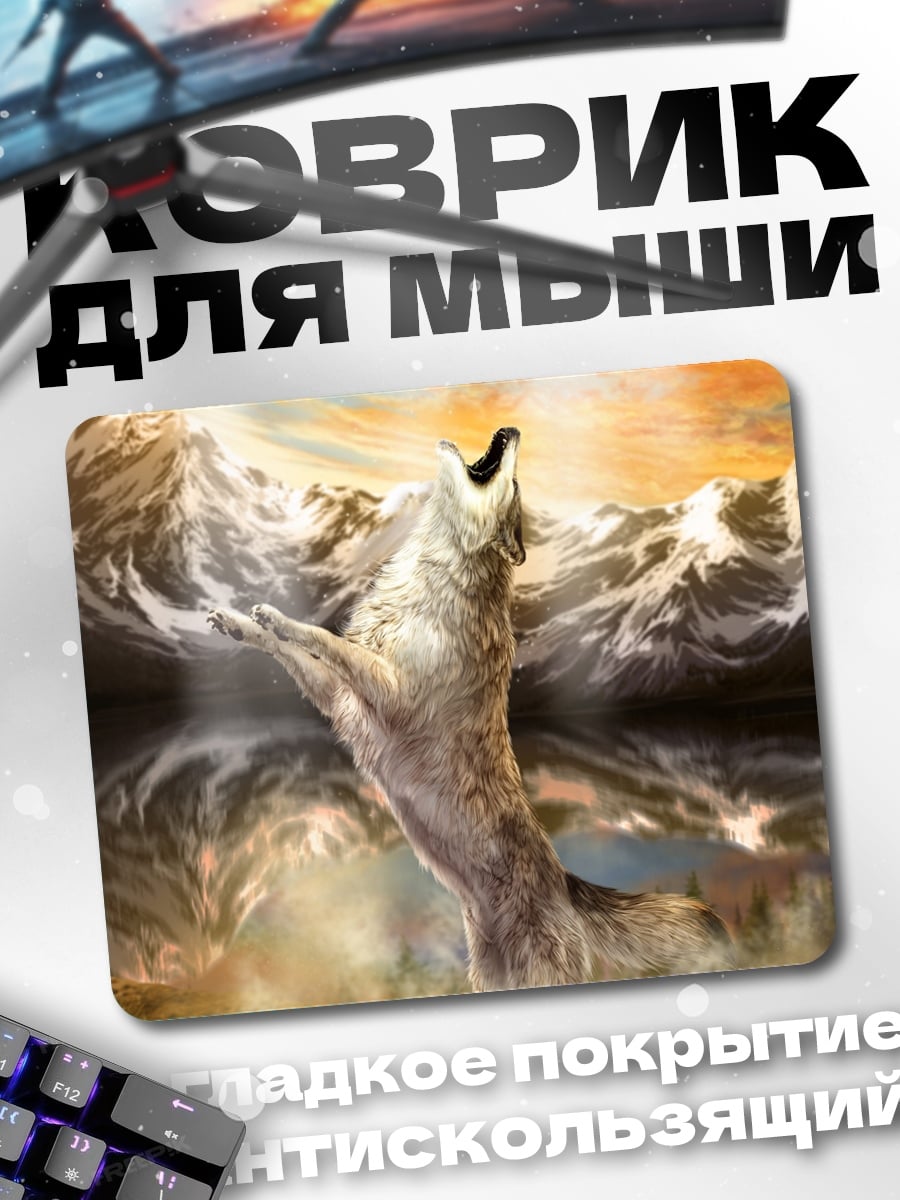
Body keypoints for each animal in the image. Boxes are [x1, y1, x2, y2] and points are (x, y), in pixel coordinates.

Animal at [207, 428, 731, 990]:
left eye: (516, 484)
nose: (512, 430)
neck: (438, 570)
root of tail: (565, 882)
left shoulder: (389, 690)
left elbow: (322, 638)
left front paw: (280, 618)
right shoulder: (342, 700)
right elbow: (289, 647)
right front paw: (242, 622)